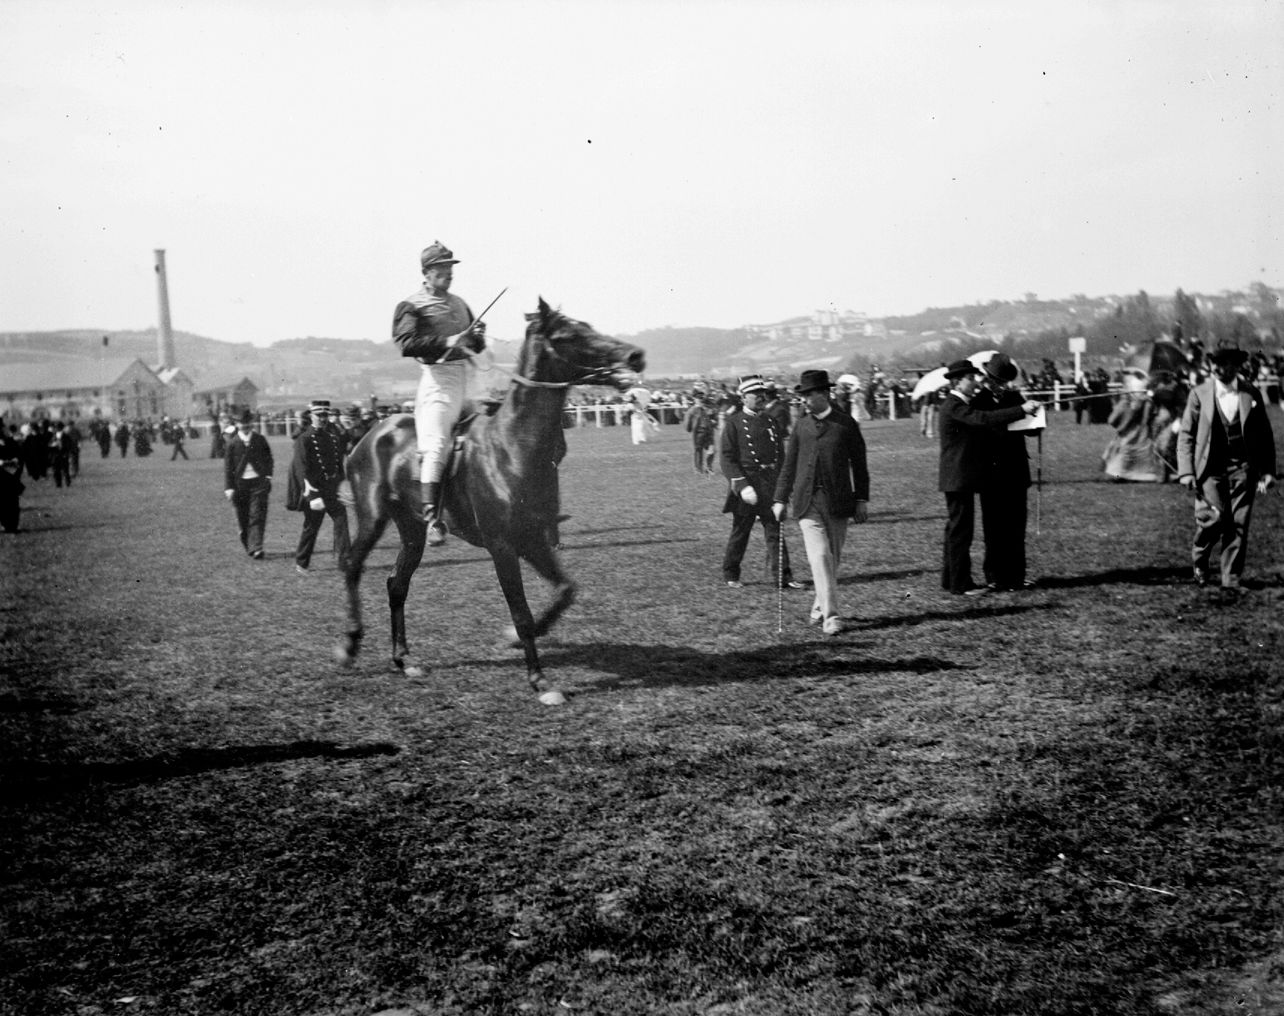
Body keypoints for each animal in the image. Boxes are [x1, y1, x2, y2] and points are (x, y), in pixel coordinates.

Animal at [336, 297, 647, 703]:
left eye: (589, 326)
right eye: (569, 335)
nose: (635, 355)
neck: (514, 447)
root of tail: (373, 431)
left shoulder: (533, 539)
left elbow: (565, 590)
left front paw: (517, 639)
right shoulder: (502, 545)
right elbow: (521, 612)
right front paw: (539, 680)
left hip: (412, 530)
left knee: (396, 583)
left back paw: (404, 660)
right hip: (372, 516)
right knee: (352, 566)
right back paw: (349, 645)